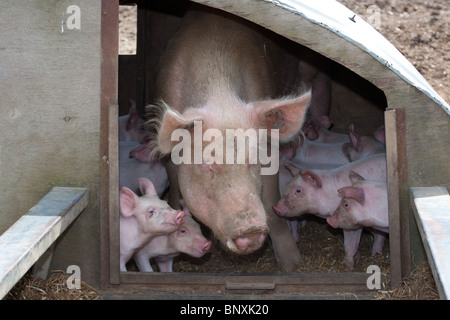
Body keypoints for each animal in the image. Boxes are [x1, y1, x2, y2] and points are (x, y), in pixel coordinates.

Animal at [148, 6, 310, 268]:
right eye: (207, 164)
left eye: (255, 160)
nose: (251, 229)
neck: (218, 91)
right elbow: (174, 182)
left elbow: (271, 198)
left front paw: (293, 266)